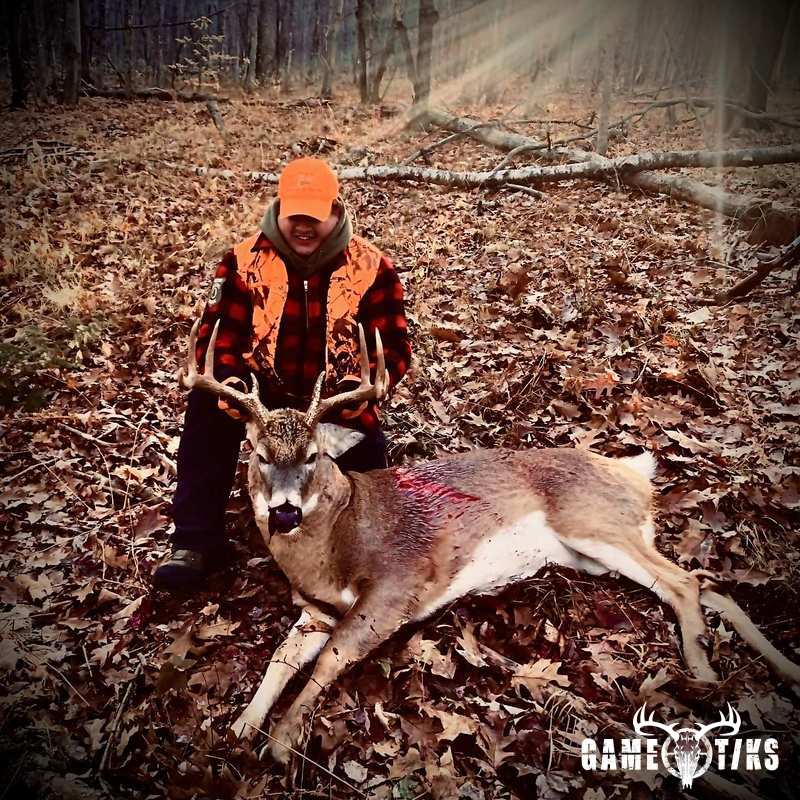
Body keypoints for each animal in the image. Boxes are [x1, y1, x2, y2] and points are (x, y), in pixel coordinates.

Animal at [177, 318, 800, 765]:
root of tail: (635, 472)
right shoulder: (315, 608)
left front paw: (280, 742)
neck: (336, 543)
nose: (283, 510)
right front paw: (239, 727)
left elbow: (330, 661)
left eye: (313, 456)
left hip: (594, 524)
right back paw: (779, 671)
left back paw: (704, 674)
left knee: (687, 580)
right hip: (596, 553)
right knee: (707, 587)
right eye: (257, 454)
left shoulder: (397, 585)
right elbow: (282, 659)